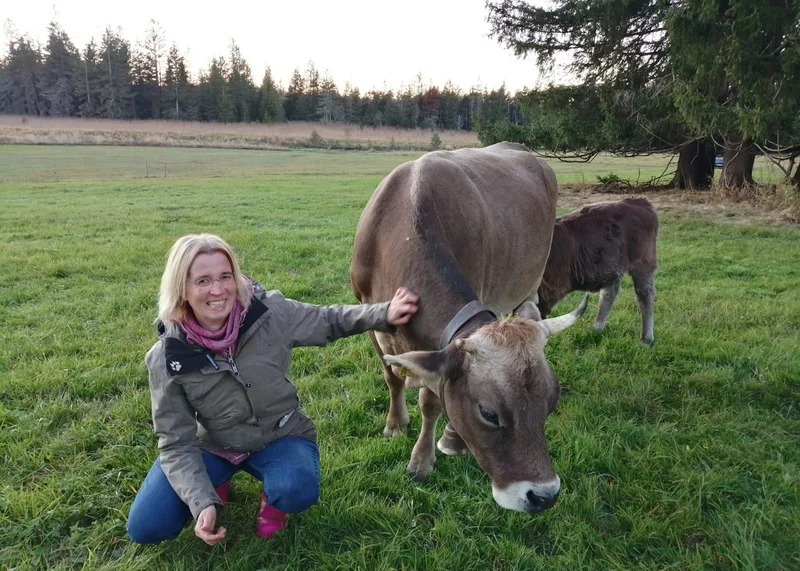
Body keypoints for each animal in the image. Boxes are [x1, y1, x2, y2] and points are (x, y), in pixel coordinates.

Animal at [350, 142, 588, 513]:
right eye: (488, 413)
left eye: (552, 401)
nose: (544, 495)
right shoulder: (370, 315)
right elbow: (392, 377)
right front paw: (395, 425)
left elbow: (431, 399)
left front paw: (424, 457)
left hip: (530, 280)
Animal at [536, 197, 658, 346]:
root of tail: (638, 201)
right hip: (611, 268)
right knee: (609, 293)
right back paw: (596, 329)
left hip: (643, 264)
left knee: (645, 294)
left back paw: (647, 339)